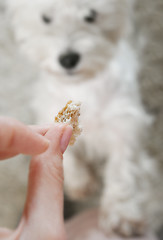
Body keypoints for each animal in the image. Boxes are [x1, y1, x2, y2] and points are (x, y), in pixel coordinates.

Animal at [7, 0, 163, 236]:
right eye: (46, 18)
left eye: (91, 15)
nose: (68, 59)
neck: (84, 84)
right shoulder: (47, 107)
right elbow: (69, 155)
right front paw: (81, 183)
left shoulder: (124, 122)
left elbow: (123, 167)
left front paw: (121, 215)